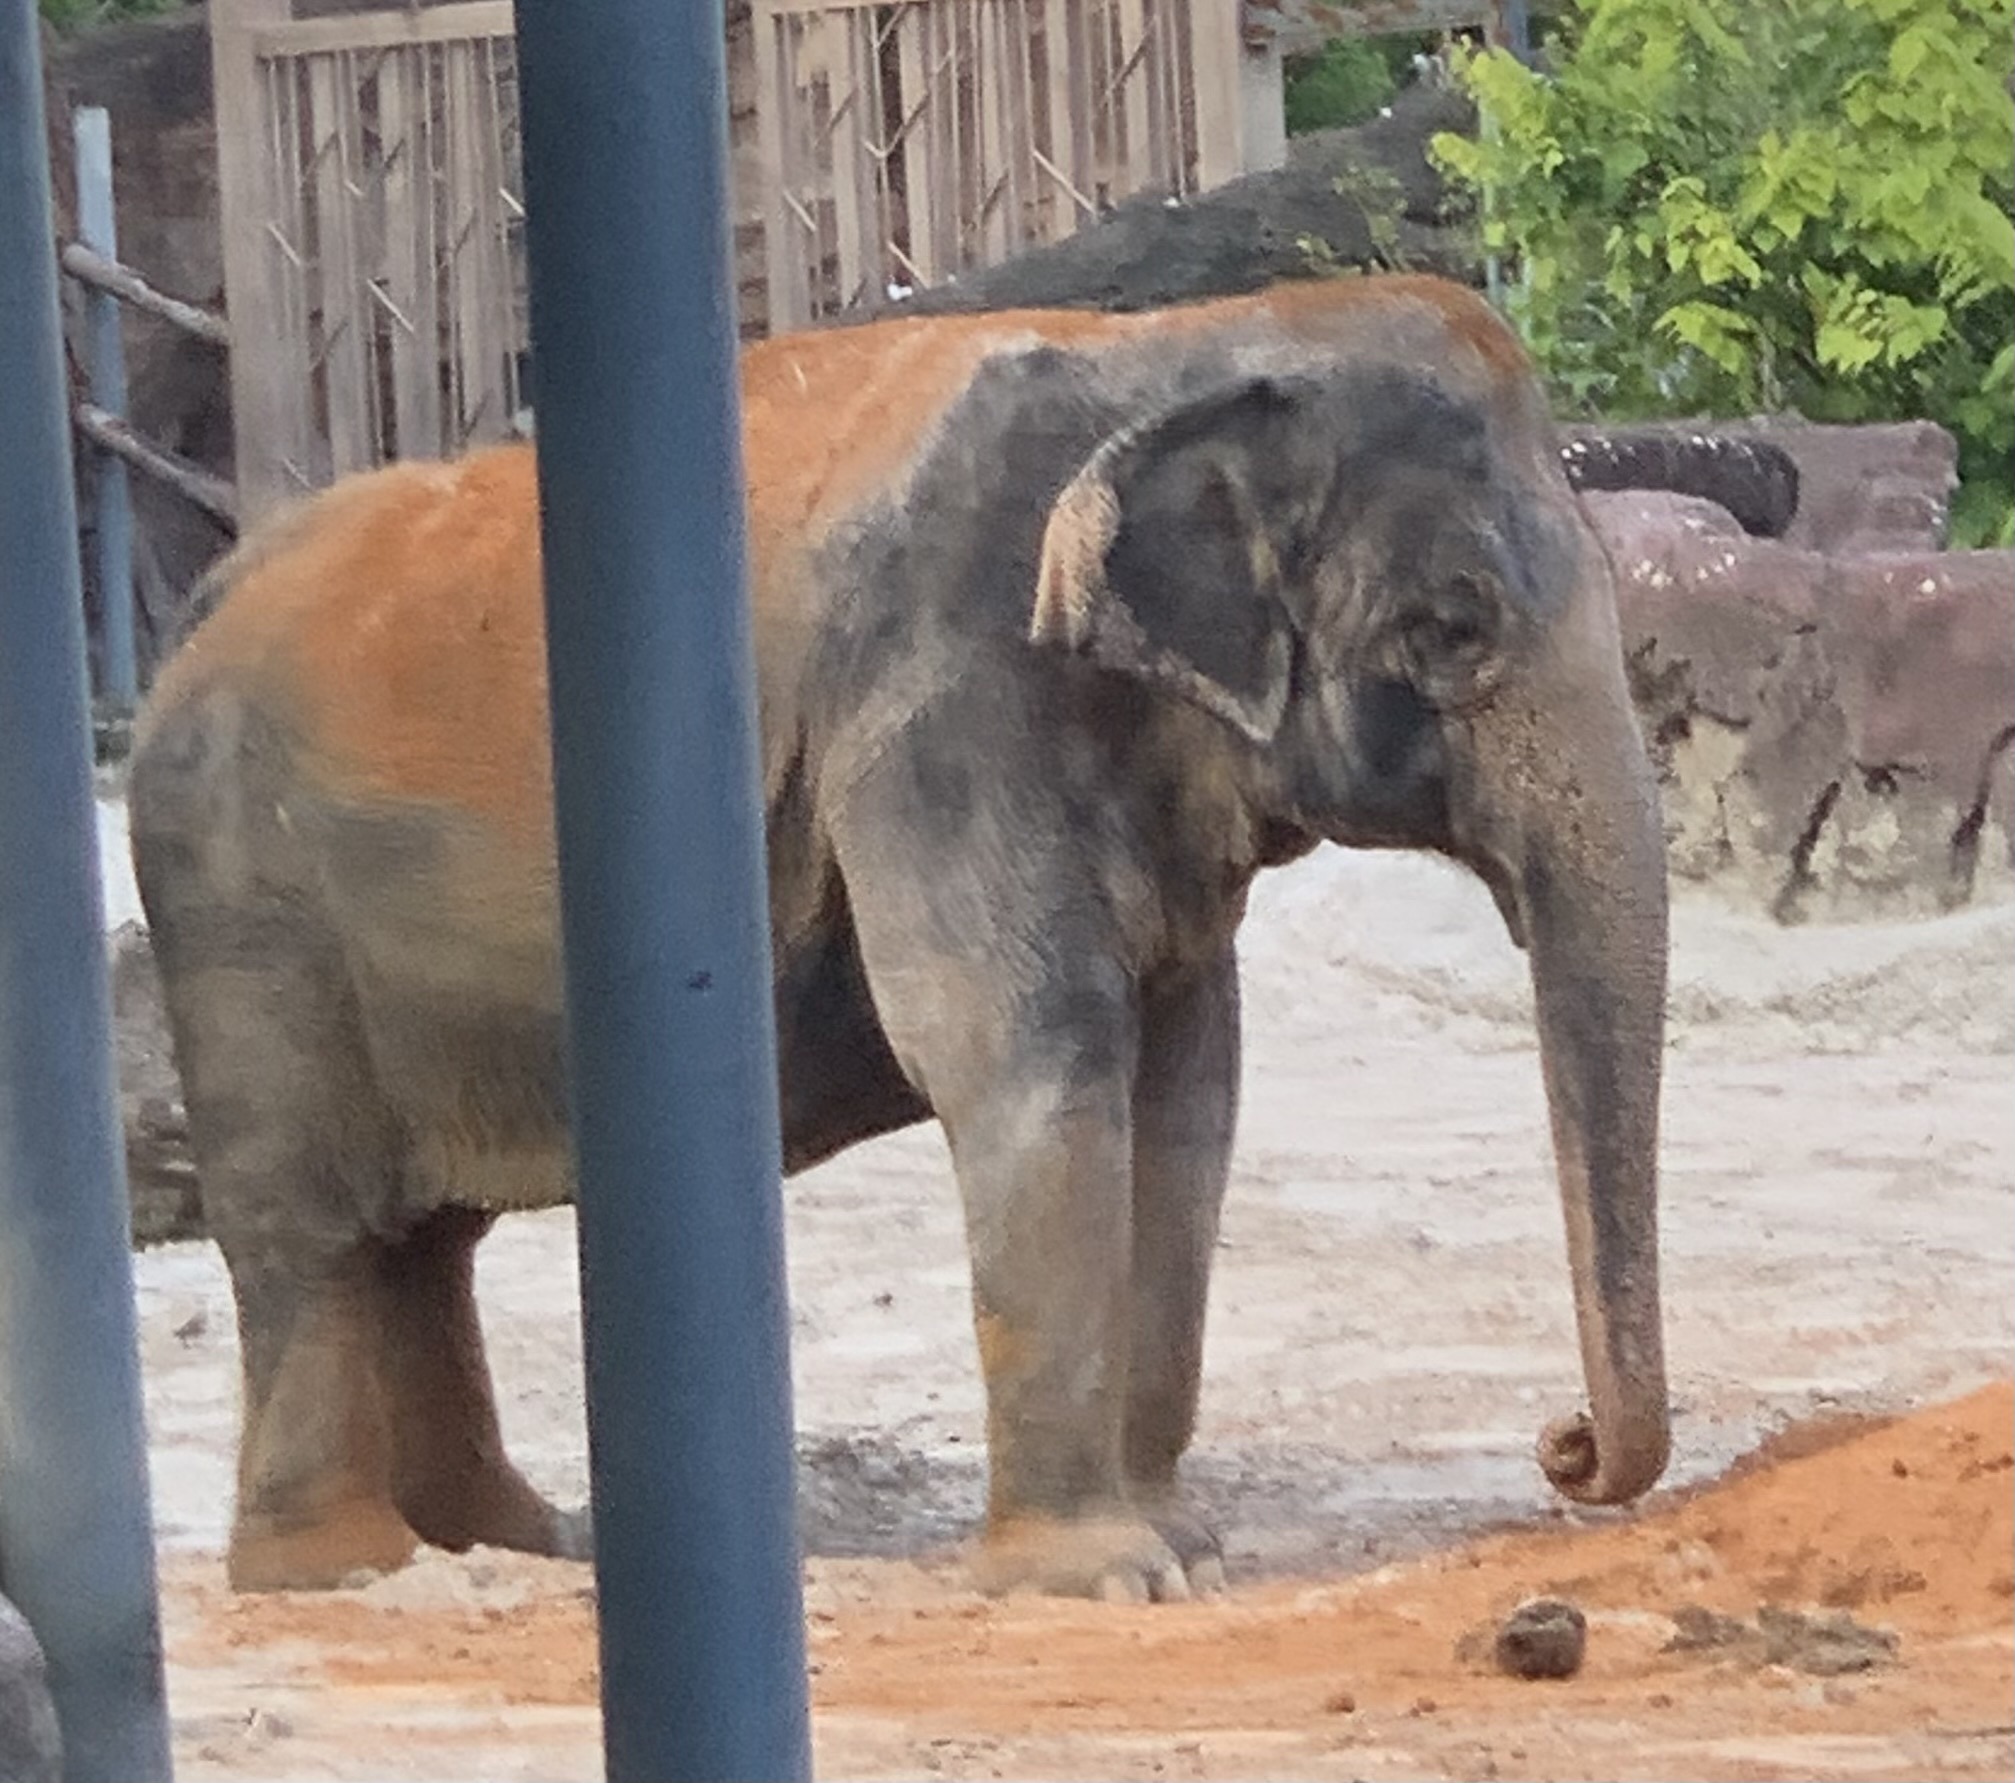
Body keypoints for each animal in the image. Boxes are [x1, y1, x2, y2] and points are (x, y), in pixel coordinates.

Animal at [129, 272, 1671, 1599]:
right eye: (1452, 626)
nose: (1563, 1446)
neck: (1188, 344)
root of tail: (190, 613)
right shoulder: (939, 706)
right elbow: (1031, 1057)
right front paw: (1104, 1577)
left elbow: (1186, 1089)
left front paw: (1180, 1545)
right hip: (240, 912)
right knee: (308, 1233)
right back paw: (341, 1568)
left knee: (422, 1239)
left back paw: (504, 1545)